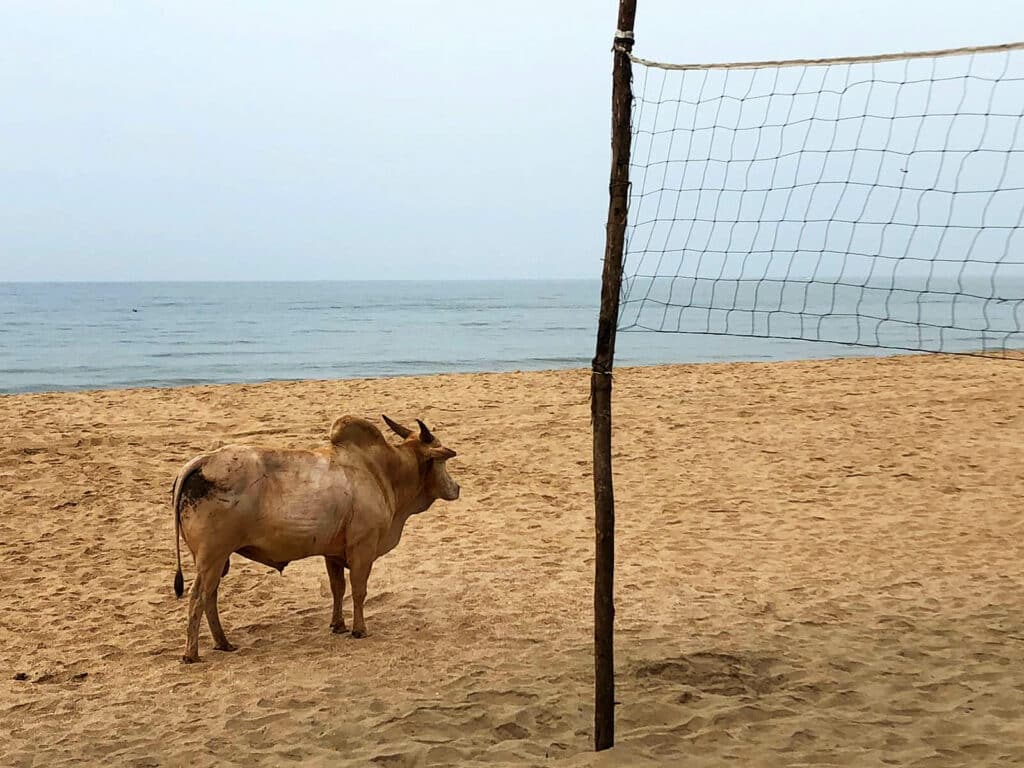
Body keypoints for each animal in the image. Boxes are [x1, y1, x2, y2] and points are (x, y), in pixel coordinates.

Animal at [172, 417, 460, 663]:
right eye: (443, 463)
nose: (456, 488)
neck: (382, 472)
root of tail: (201, 461)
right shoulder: (362, 548)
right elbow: (359, 590)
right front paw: (359, 629)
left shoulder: (332, 553)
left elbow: (337, 588)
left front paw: (338, 625)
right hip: (212, 557)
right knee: (198, 598)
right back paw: (192, 654)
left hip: (216, 560)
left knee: (210, 597)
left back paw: (223, 643)